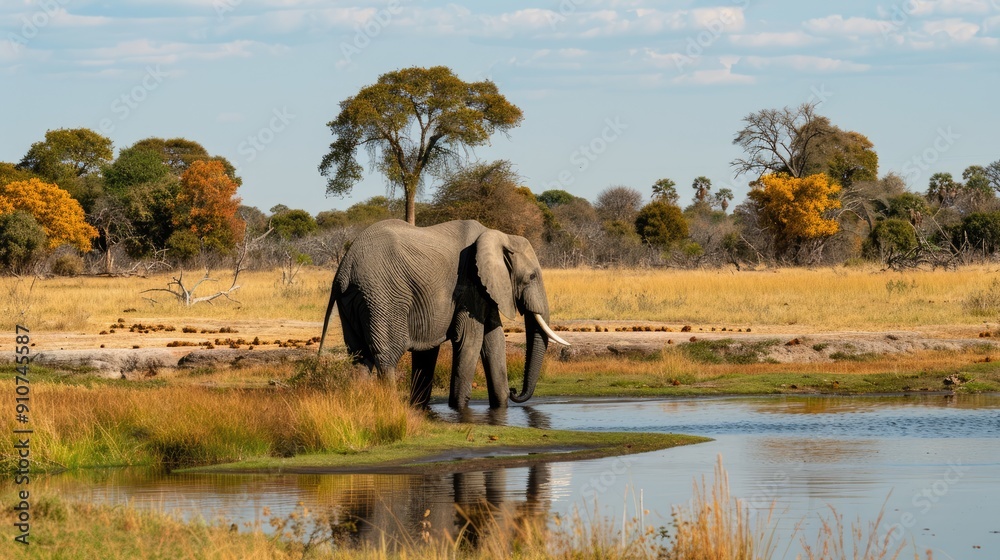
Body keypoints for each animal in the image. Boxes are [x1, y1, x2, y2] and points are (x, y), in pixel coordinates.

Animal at [317, 219, 568, 409]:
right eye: (532, 277)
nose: (515, 391)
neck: (499, 236)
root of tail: (344, 268)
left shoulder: (483, 289)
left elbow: (493, 339)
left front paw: (499, 407)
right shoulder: (469, 282)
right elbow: (470, 340)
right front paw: (459, 409)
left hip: (354, 300)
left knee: (359, 357)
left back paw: (362, 401)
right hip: (382, 296)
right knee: (386, 357)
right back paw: (390, 406)